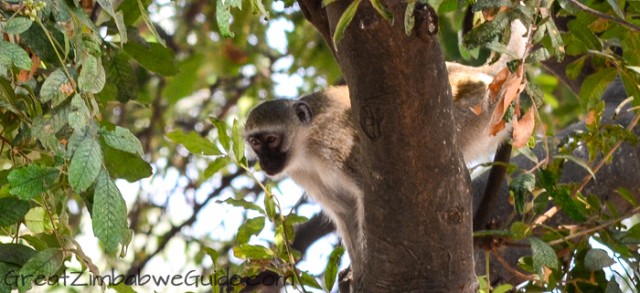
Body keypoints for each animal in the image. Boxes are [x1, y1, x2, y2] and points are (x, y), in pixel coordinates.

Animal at [242, 19, 528, 280]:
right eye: (255, 143)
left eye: (271, 140)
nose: (265, 162)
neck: (306, 145)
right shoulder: (302, 173)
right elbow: (344, 210)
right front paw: (357, 273)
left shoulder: (333, 142)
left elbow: (364, 191)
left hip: (479, 107)